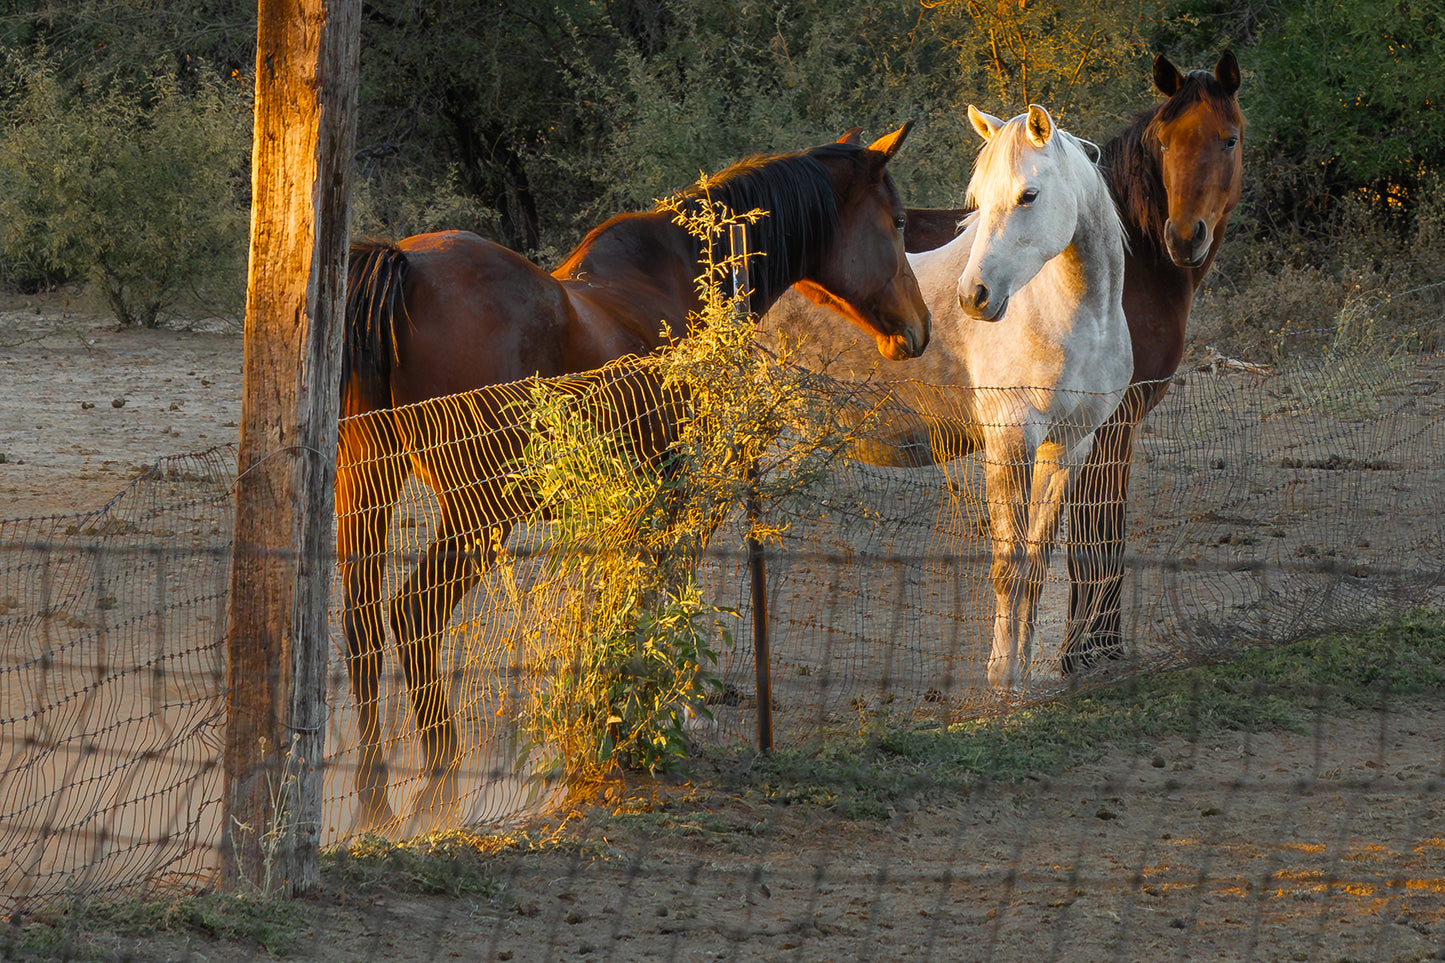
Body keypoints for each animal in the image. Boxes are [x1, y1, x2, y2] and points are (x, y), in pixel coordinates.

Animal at [338, 122, 930, 827]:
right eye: (898, 221)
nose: (922, 328)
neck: (689, 275)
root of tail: (403, 266)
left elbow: (622, 593)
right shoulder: (678, 490)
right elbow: (661, 590)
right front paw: (660, 709)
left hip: (367, 491)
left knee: (362, 625)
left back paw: (373, 797)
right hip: (479, 511)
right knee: (413, 615)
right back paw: (438, 788)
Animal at [762, 103, 1132, 691]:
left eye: (1029, 195)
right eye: (979, 202)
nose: (974, 297)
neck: (1076, 317)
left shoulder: (1068, 447)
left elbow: (1036, 563)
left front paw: (1023, 672)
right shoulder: (1009, 441)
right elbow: (1007, 566)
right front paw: (1001, 677)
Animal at [901, 52, 1242, 673]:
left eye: (1228, 139)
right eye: (1164, 141)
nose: (1184, 238)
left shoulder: (1086, 429)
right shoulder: (1113, 422)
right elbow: (1099, 539)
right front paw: (1091, 650)